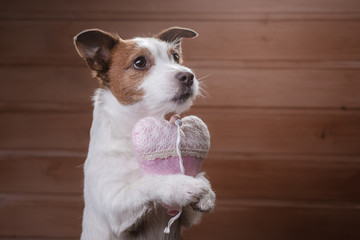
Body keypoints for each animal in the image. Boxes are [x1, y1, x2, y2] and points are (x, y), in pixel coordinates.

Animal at [72, 26, 214, 240]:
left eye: (175, 56)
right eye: (139, 62)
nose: (188, 76)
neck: (132, 131)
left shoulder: (187, 217)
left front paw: (205, 191)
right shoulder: (114, 206)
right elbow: (147, 183)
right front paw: (180, 185)